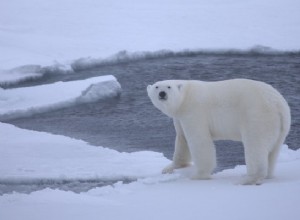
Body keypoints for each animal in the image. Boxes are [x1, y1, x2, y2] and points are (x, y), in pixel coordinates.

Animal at [148, 78, 290, 185]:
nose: (162, 93)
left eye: (168, 87)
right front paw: (170, 168)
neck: (185, 97)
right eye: (156, 87)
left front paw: (199, 175)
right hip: (281, 126)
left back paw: (248, 179)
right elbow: (182, 139)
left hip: (257, 115)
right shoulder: (179, 117)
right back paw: (267, 175)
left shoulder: (194, 111)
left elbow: (199, 140)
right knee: (273, 151)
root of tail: (278, 104)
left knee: (255, 146)